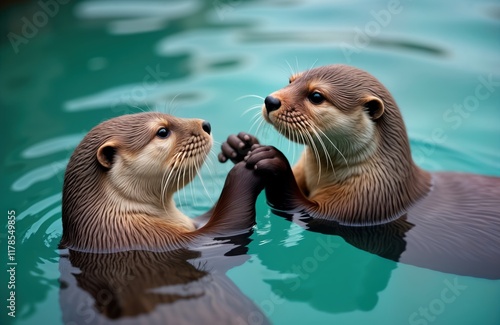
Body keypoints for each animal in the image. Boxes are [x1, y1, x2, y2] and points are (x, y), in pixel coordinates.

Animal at [221, 64, 500, 278]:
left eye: (316, 96)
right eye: (291, 80)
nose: (271, 100)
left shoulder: (366, 201)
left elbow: (306, 210)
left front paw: (273, 160)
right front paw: (240, 144)